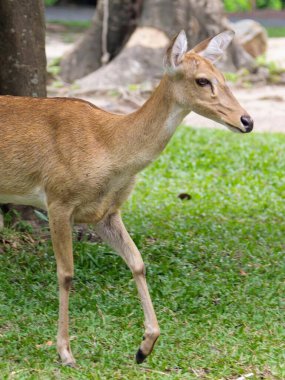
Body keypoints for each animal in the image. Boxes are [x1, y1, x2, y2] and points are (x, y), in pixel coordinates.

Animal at [0, 31, 253, 366]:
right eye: (202, 80)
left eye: (223, 77)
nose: (247, 120)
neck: (109, 147)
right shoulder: (58, 199)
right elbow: (66, 274)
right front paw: (66, 352)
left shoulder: (106, 213)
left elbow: (137, 262)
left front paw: (145, 347)